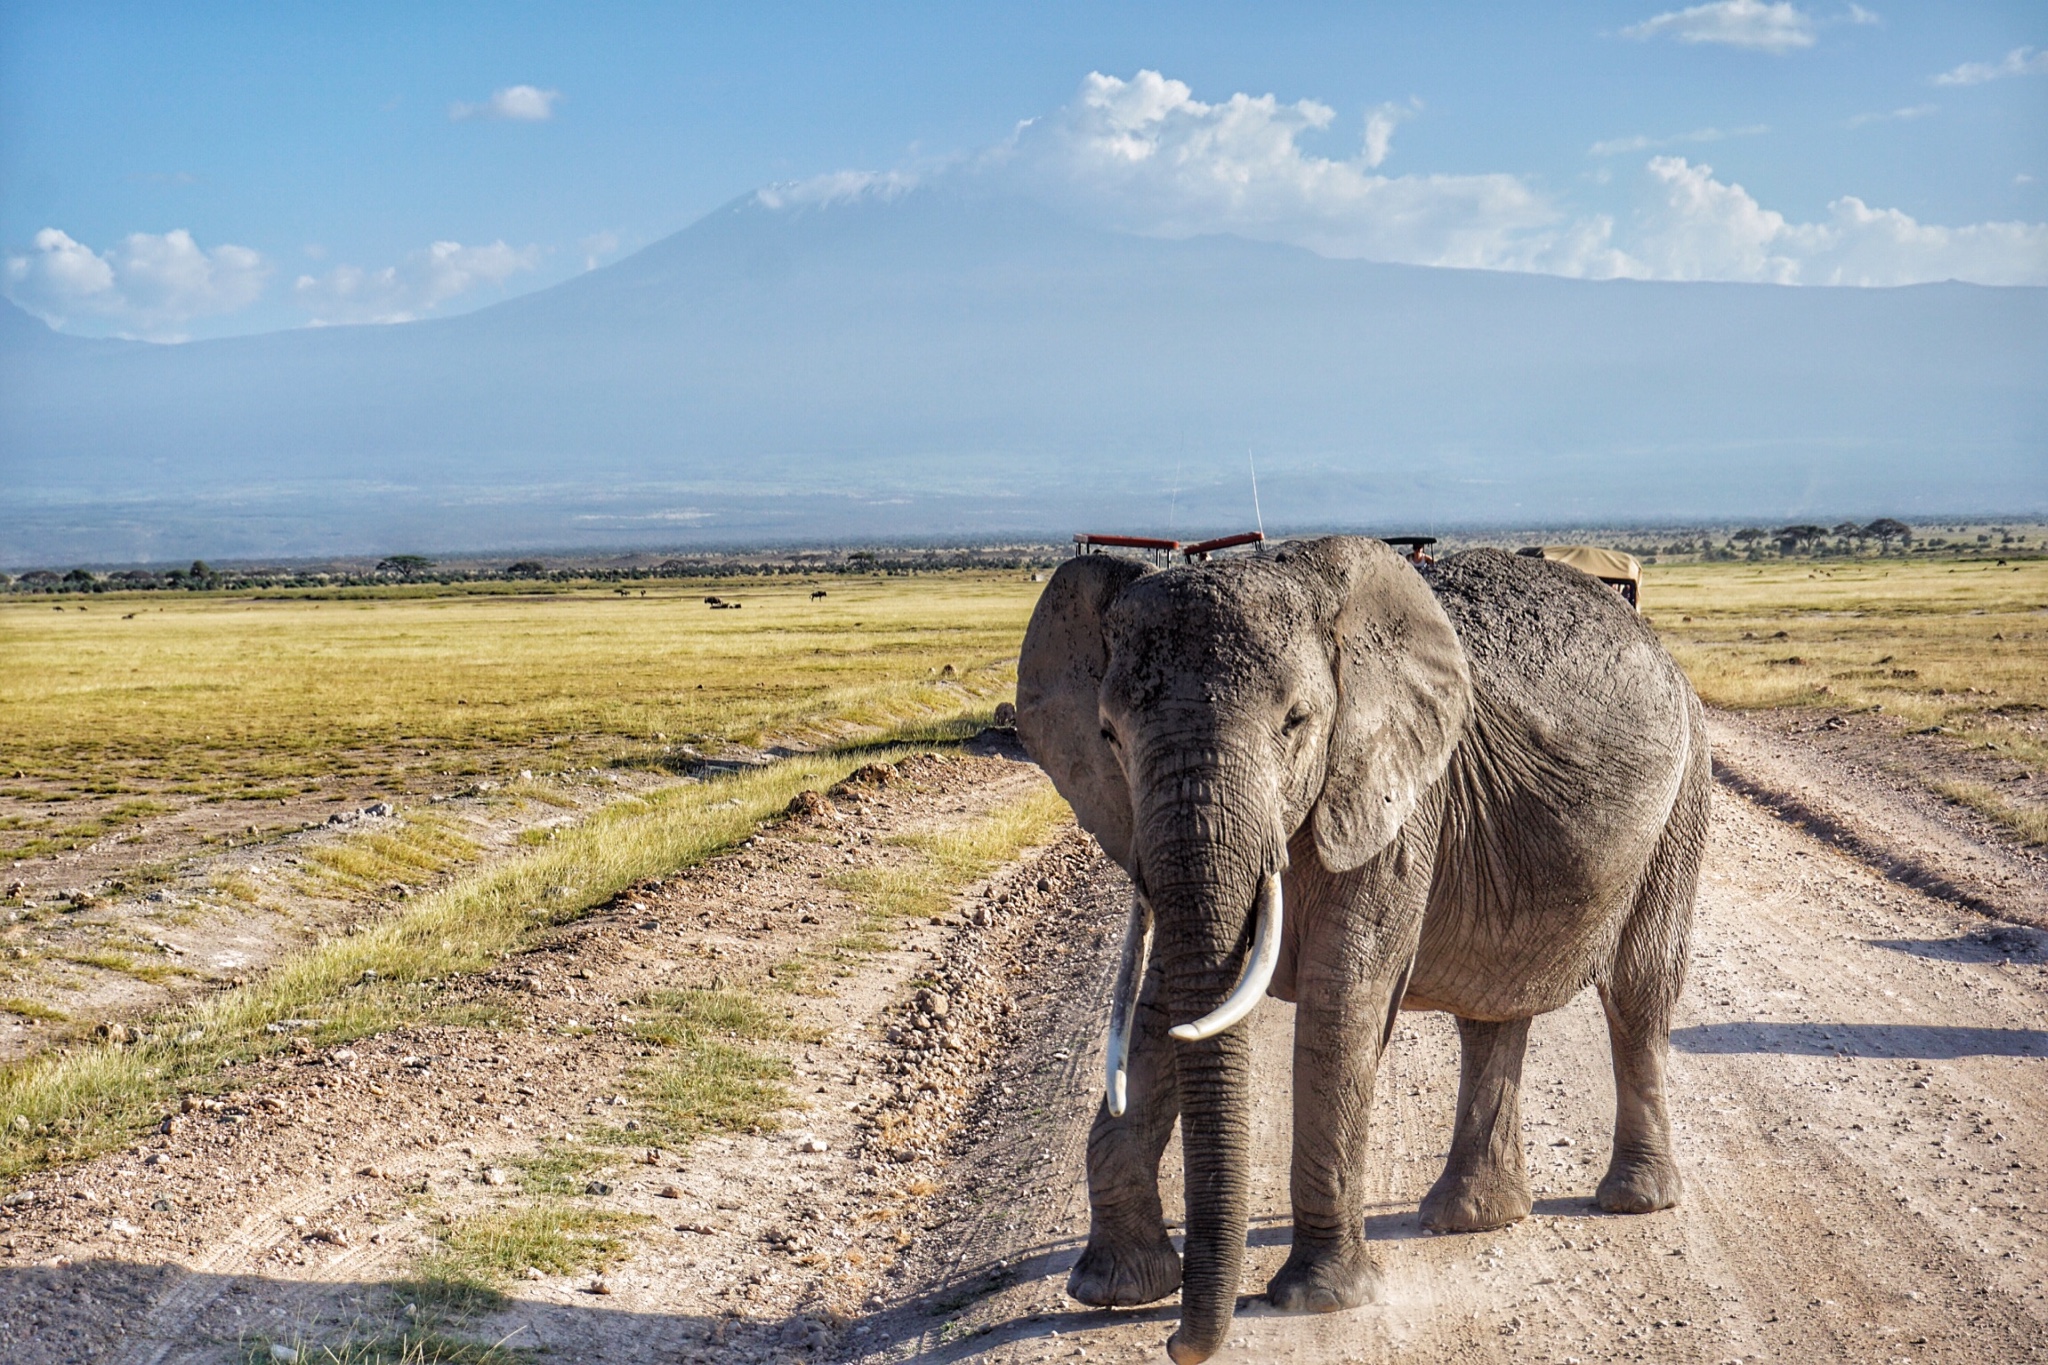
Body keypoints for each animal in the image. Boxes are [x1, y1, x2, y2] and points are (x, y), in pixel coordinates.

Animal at [1015, 540, 1703, 1358]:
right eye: (1109, 736)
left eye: (1296, 722)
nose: (1177, 1345)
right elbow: (1162, 1007)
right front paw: (1114, 1289)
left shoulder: (1397, 800)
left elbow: (1342, 1001)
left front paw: (1317, 1301)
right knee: (1492, 1009)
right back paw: (1471, 1219)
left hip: (1683, 796)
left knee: (1638, 992)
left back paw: (1634, 1202)